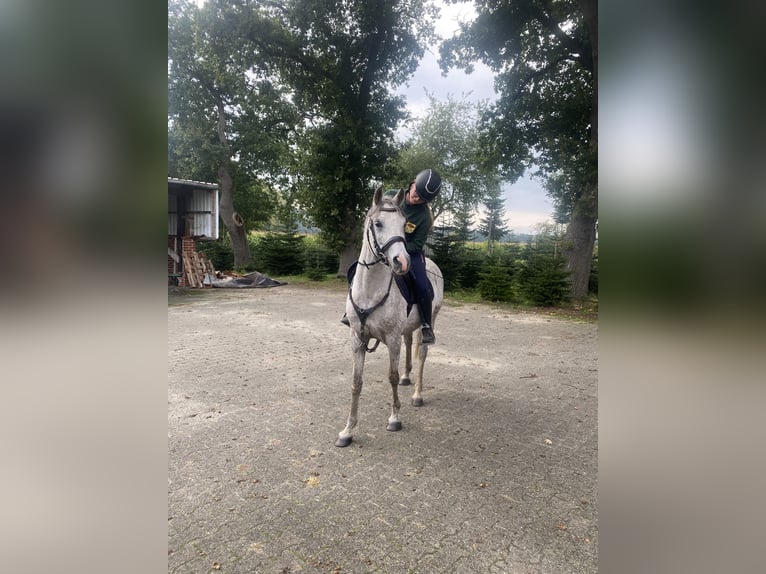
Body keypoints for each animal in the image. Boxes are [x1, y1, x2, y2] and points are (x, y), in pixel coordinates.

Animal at [335, 185, 444, 448]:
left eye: (404, 224)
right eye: (378, 223)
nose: (401, 262)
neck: (370, 290)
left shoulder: (392, 340)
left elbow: (391, 377)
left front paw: (394, 418)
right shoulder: (357, 340)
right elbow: (356, 382)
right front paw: (348, 430)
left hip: (429, 322)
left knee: (422, 354)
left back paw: (417, 394)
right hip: (407, 328)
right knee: (410, 344)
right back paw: (407, 377)